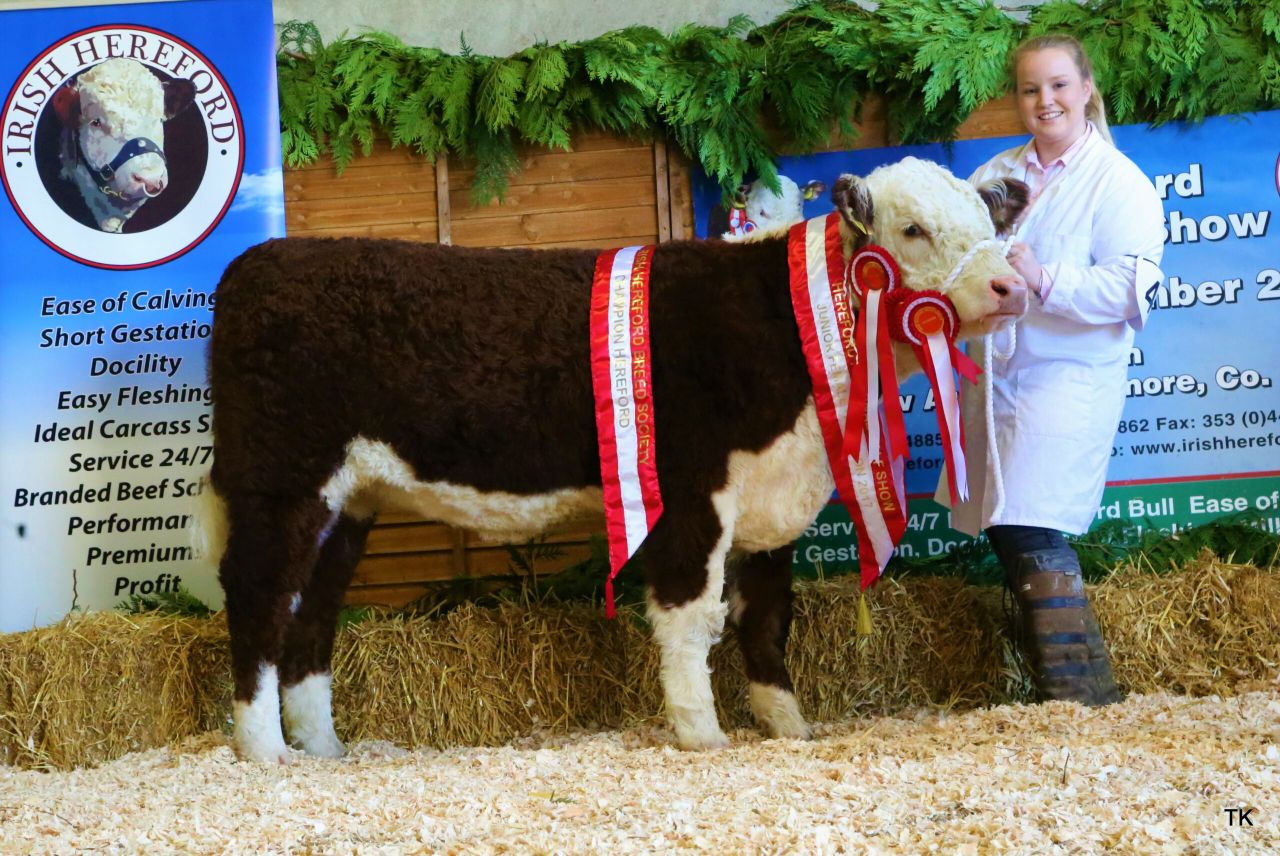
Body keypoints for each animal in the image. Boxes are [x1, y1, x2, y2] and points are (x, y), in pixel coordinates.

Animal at [194, 157, 1030, 763]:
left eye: (988, 222)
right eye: (913, 229)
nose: (1009, 284)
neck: (789, 322)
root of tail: (252, 267)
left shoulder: (770, 502)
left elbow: (767, 620)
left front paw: (788, 727)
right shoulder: (693, 493)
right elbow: (692, 618)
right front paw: (702, 734)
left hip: (347, 502)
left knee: (310, 612)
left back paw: (323, 748)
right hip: (282, 478)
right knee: (260, 594)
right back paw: (263, 750)